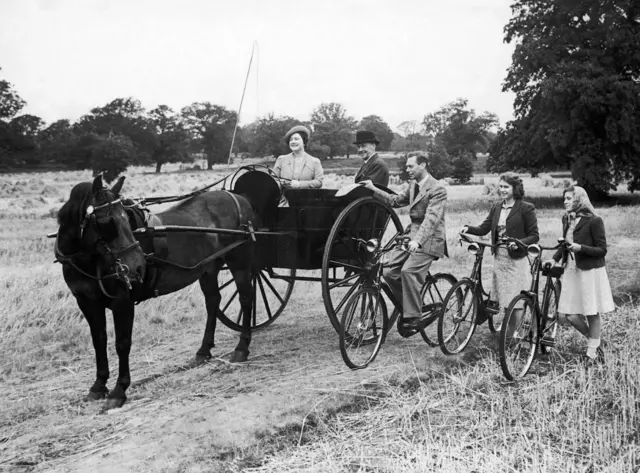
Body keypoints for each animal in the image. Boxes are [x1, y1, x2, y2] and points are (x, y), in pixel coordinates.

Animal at [55, 175, 258, 408]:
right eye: (107, 222)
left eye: (125, 217)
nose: (136, 266)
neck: (88, 259)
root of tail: (238, 198)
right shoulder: (87, 303)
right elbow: (99, 341)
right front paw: (98, 385)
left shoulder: (122, 302)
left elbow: (122, 343)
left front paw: (119, 390)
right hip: (208, 268)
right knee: (213, 301)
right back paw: (204, 351)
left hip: (239, 262)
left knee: (246, 298)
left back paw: (242, 348)